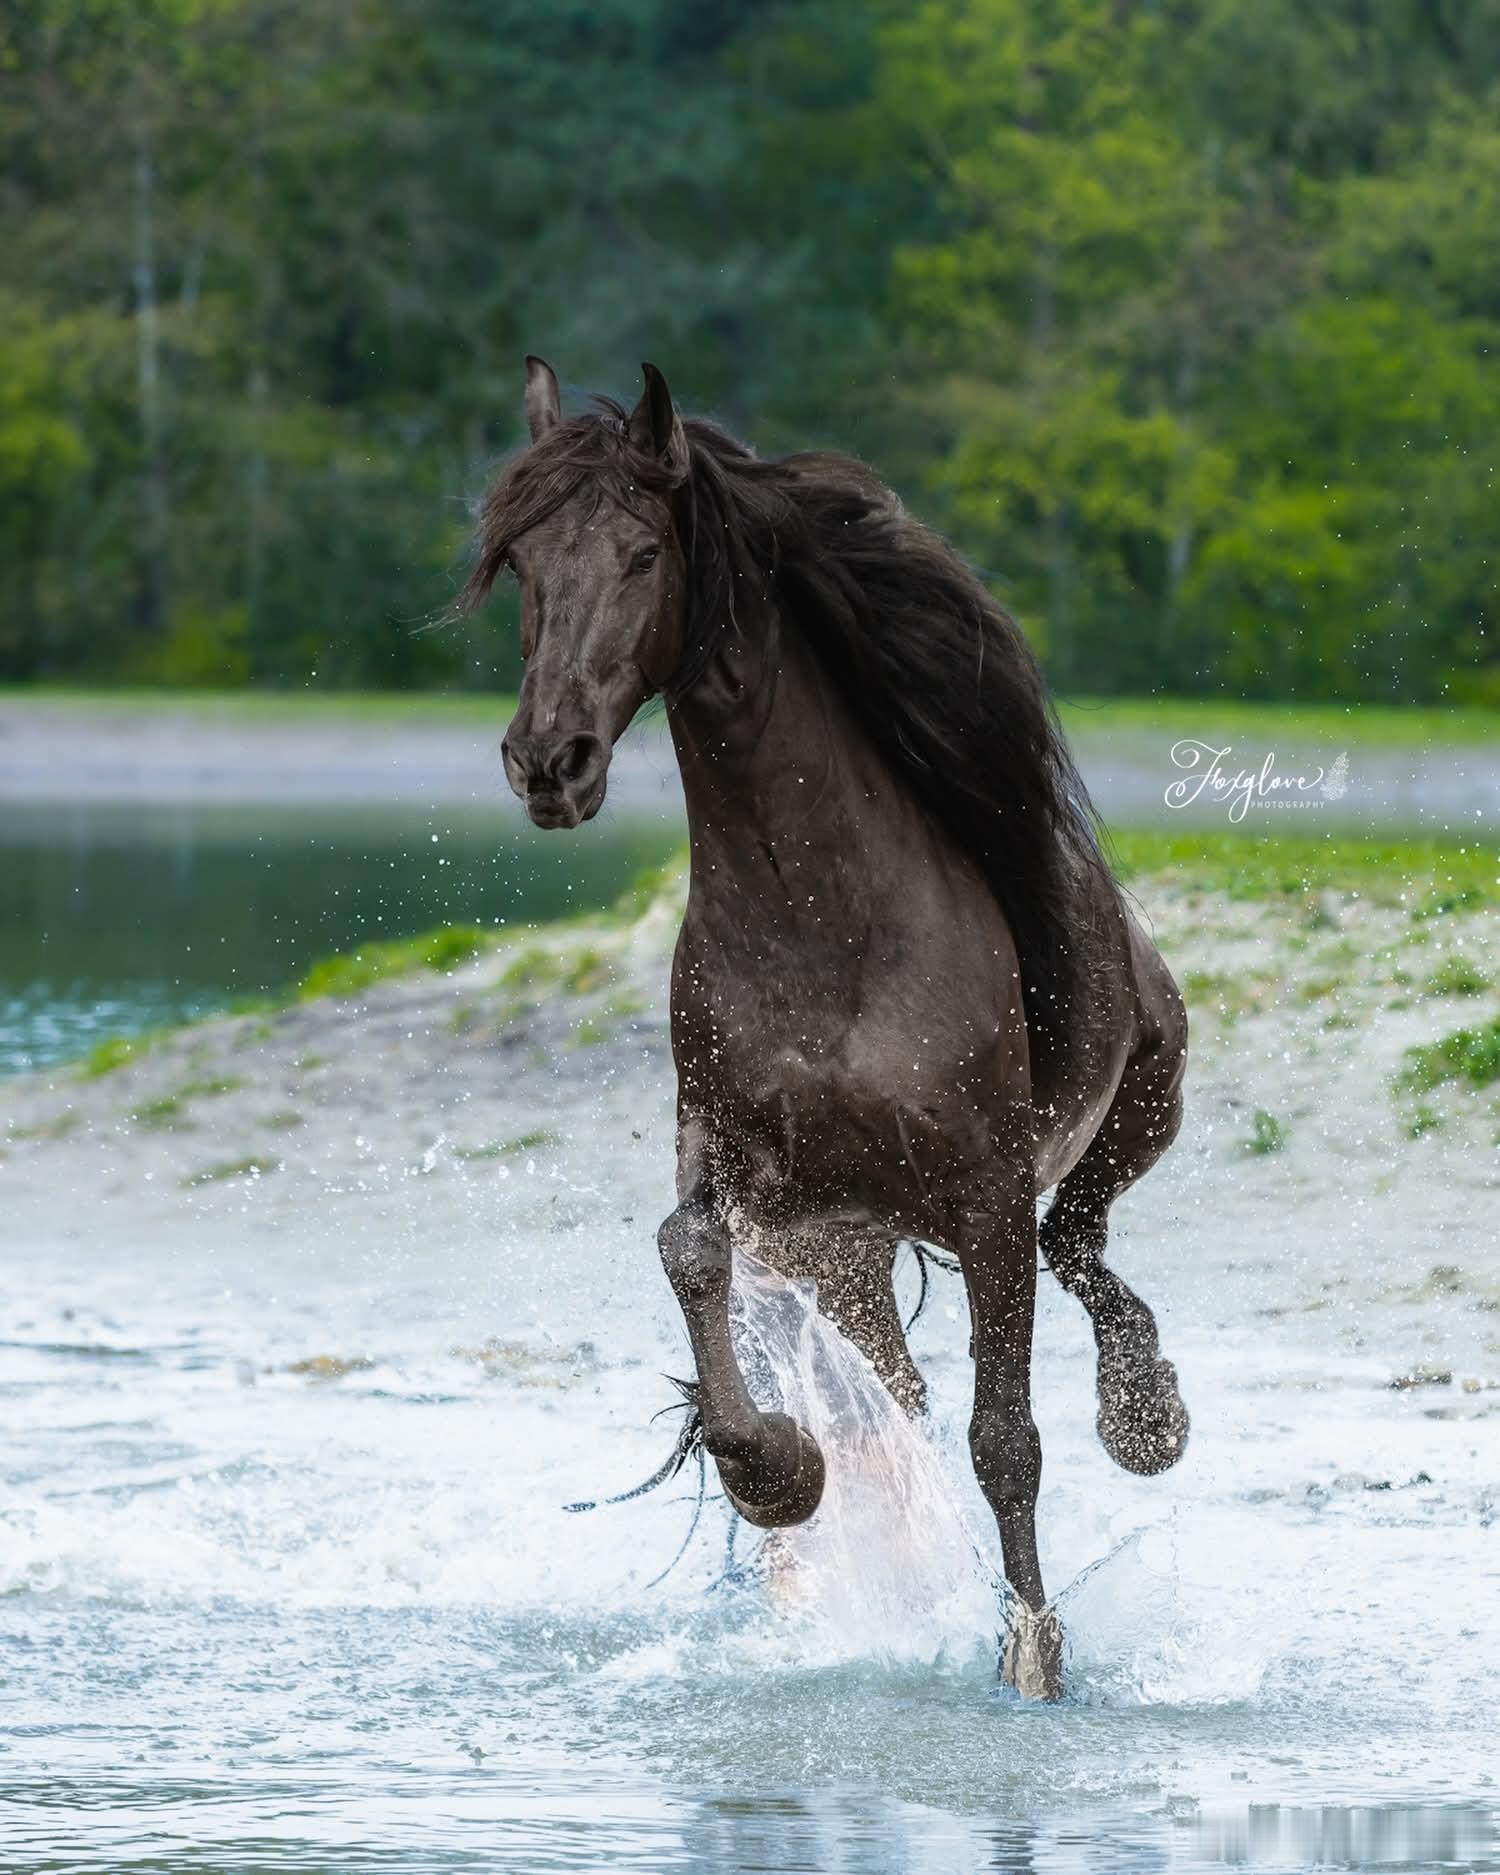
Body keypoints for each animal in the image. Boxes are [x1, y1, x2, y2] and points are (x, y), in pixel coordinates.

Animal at [461, 358, 1190, 1699]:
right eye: (523, 563)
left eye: (643, 554)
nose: (550, 761)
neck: (819, 924)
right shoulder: (734, 1160)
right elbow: (688, 1254)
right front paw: (774, 1471)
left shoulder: (987, 1195)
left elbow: (1006, 1437)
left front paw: (1033, 1656)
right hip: (846, 1257)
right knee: (912, 1387)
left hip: (1142, 1107)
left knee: (1079, 1241)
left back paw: (1147, 1412)